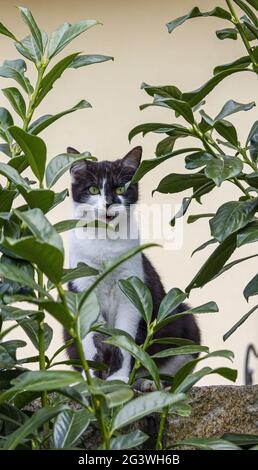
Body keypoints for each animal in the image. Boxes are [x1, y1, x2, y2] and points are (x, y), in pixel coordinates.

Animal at [65, 145, 201, 388]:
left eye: (121, 188)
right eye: (93, 189)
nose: (109, 202)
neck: (105, 242)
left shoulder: (132, 289)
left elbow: (124, 339)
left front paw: (118, 378)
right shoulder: (82, 287)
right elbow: (90, 341)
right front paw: (92, 382)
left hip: (182, 319)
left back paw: (148, 384)